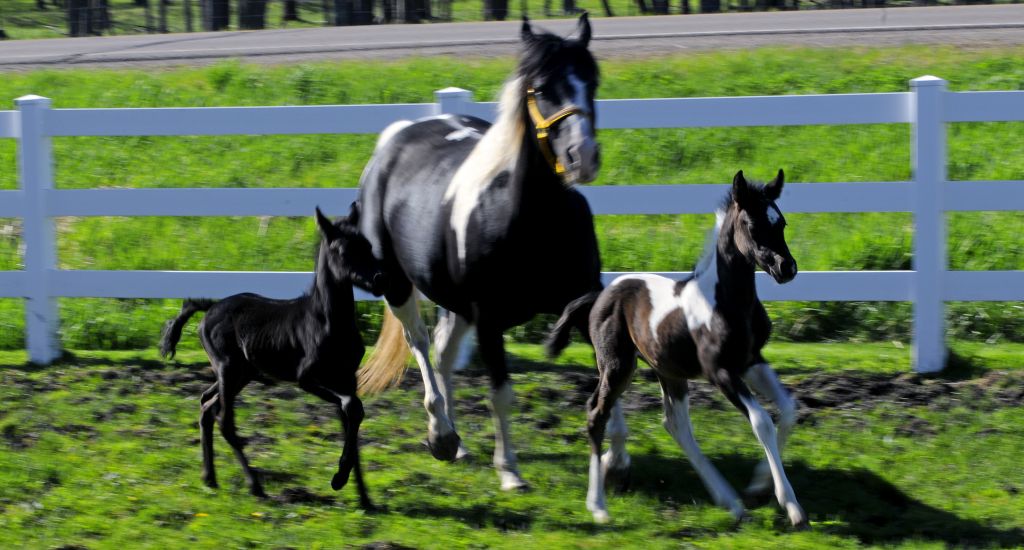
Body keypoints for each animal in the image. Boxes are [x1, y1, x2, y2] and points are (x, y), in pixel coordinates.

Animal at [157, 205, 385, 505]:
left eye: (368, 245)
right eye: (343, 250)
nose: (381, 280)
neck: (328, 321)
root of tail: (210, 308)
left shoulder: (347, 377)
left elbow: (350, 421)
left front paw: (364, 497)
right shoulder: (307, 378)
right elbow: (352, 407)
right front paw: (339, 480)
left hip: (242, 373)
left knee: (206, 404)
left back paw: (210, 478)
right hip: (229, 369)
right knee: (224, 420)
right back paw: (254, 485)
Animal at [358, 13, 602, 489]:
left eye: (592, 80)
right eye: (541, 87)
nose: (583, 155)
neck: (533, 222)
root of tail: (396, 137)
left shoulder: (580, 303)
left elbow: (610, 372)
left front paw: (616, 458)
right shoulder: (489, 319)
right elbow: (500, 392)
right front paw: (509, 471)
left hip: (454, 303)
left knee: (443, 351)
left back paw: (459, 443)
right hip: (397, 285)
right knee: (421, 346)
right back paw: (441, 435)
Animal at [557, 168, 802, 524]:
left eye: (781, 222)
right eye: (753, 225)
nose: (787, 268)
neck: (727, 302)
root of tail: (602, 293)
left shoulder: (752, 362)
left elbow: (788, 410)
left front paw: (757, 486)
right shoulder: (721, 372)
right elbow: (761, 422)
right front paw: (791, 506)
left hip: (669, 371)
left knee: (676, 425)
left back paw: (730, 501)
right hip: (618, 366)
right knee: (596, 414)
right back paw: (598, 505)